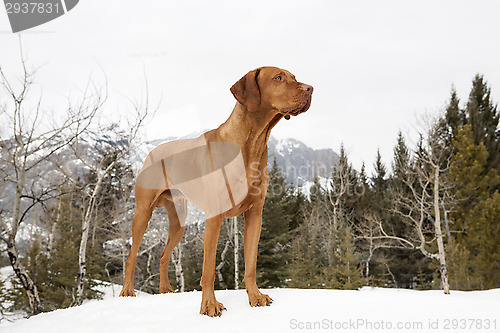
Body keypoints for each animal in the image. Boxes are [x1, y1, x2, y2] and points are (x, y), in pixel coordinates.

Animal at [118, 65, 310, 316]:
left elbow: (250, 264)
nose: (310, 88)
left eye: (295, 77)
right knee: (131, 256)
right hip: (143, 212)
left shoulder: (255, 214)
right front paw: (209, 305)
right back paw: (127, 292)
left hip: (179, 222)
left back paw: (165, 290)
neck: (251, 143)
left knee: (163, 254)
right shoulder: (214, 216)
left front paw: (255, 296)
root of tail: (153, 150)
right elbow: (208, 268)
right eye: (278, 78)